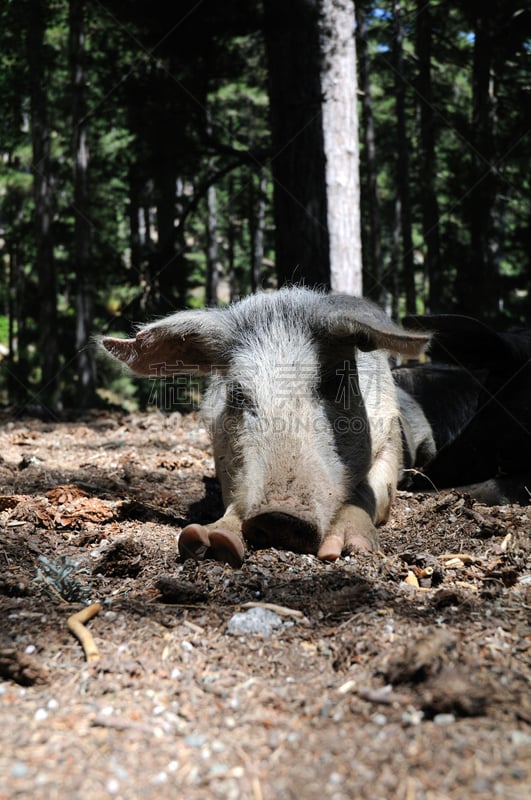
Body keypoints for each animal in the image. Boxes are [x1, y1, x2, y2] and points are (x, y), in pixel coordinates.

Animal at [103, 286, 432, 564]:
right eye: (238, 393)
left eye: (334, 383)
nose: (278, 514)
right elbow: (235, 499)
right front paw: (208, 539)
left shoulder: (390, 439)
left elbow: (369, 491)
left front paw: (348, 549)